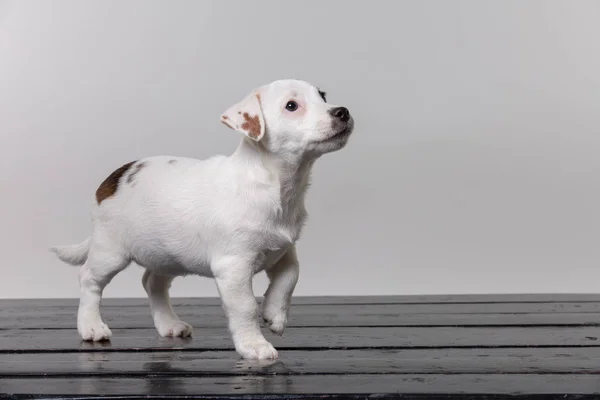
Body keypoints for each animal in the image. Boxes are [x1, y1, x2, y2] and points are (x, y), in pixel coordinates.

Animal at [51, 79, 354, 360]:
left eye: (322, 96)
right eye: (292, 106)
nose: (343, 111)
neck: (276, 184)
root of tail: (113, 179)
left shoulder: (284, 251)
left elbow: (290, 278)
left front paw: (275, 315)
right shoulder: (233, 267)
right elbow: (245, 307)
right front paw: (253, 345)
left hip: (167, 254)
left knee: (152, 283)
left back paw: (169, 324)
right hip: (110, 252)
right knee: (89, 279)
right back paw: (91, 326)